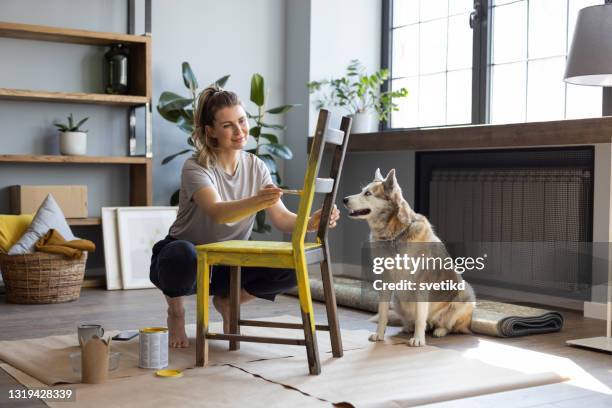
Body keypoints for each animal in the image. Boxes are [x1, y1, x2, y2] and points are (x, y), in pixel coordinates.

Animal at [342, 167, 476, 346]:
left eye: (368, 193)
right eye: (362, 191)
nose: (344, 199)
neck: (393, 236)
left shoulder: (421, 285)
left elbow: (420, 317)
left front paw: (418, 340)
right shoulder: (385, 282)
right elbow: (383, 313)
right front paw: (379, 335)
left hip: (466, 295)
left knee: (446, 325)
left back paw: (439, 330)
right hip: (397, 300)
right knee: (414, 321)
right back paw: (408, 327)